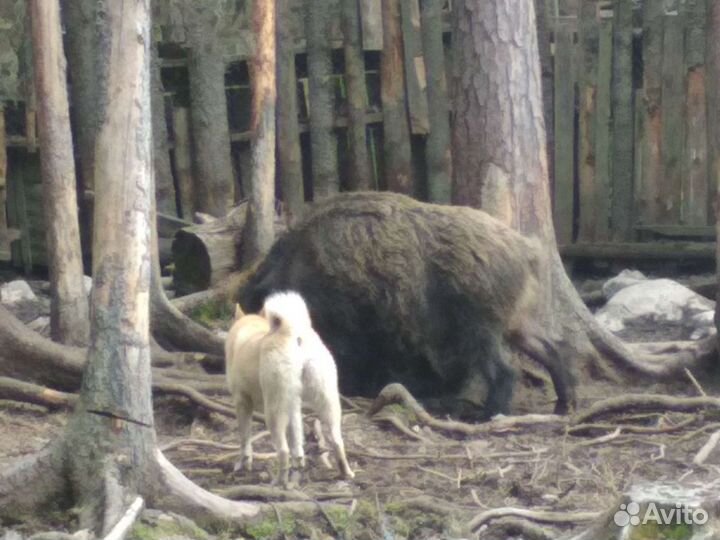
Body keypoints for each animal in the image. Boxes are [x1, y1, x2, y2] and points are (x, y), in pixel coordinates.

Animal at [222, 292, 352, 486]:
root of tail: (292, 331)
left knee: (283, 450)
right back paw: (345, 473)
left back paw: (279, 481)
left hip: (273, 411)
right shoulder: (293, 406)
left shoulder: (242, 403)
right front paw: (299, 466)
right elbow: (297, 443)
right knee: (337, 441)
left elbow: (245, 439)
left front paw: (243, 464)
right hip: (327, 401)